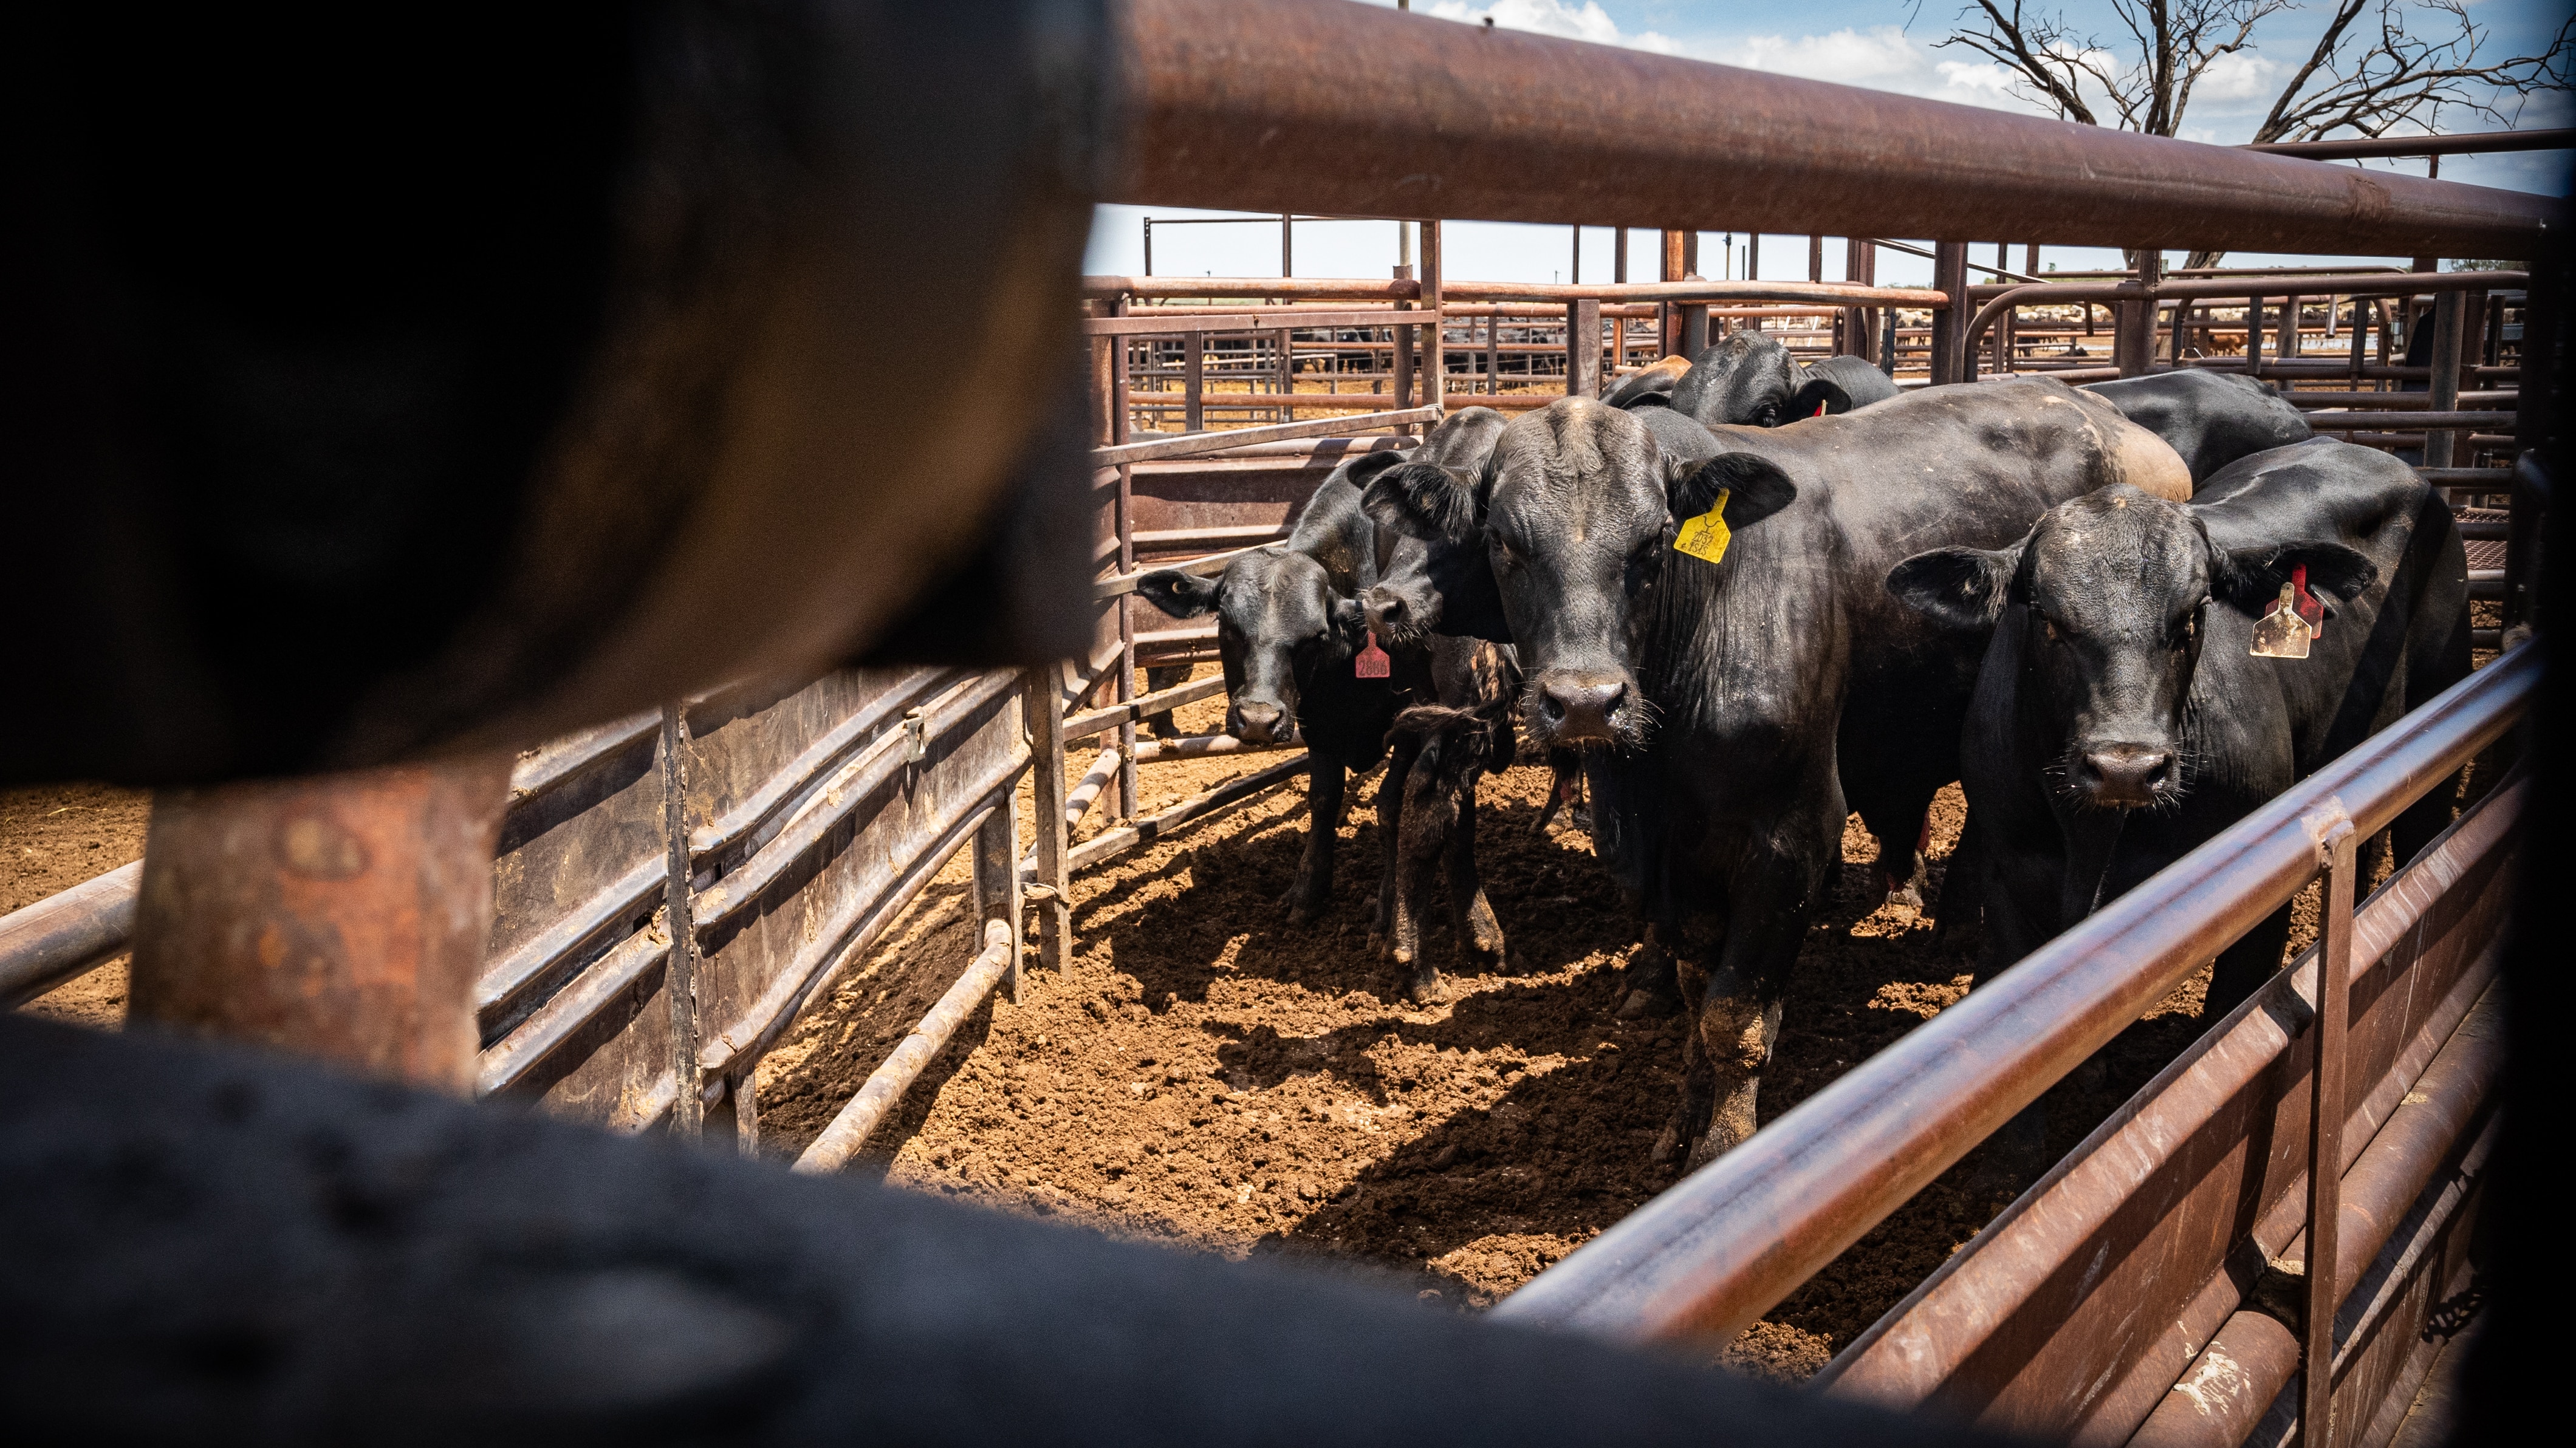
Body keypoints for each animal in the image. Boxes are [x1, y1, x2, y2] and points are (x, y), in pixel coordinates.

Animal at [1365, 379, 2193, 1166]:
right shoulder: (1673, 857)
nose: (1587, 701)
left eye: (1654, 541)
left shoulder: (1790, 836)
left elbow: (1735, 1016)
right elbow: (1700, 997)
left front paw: (1721, 1149)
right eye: (1501, 539)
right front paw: (1683, 1118)